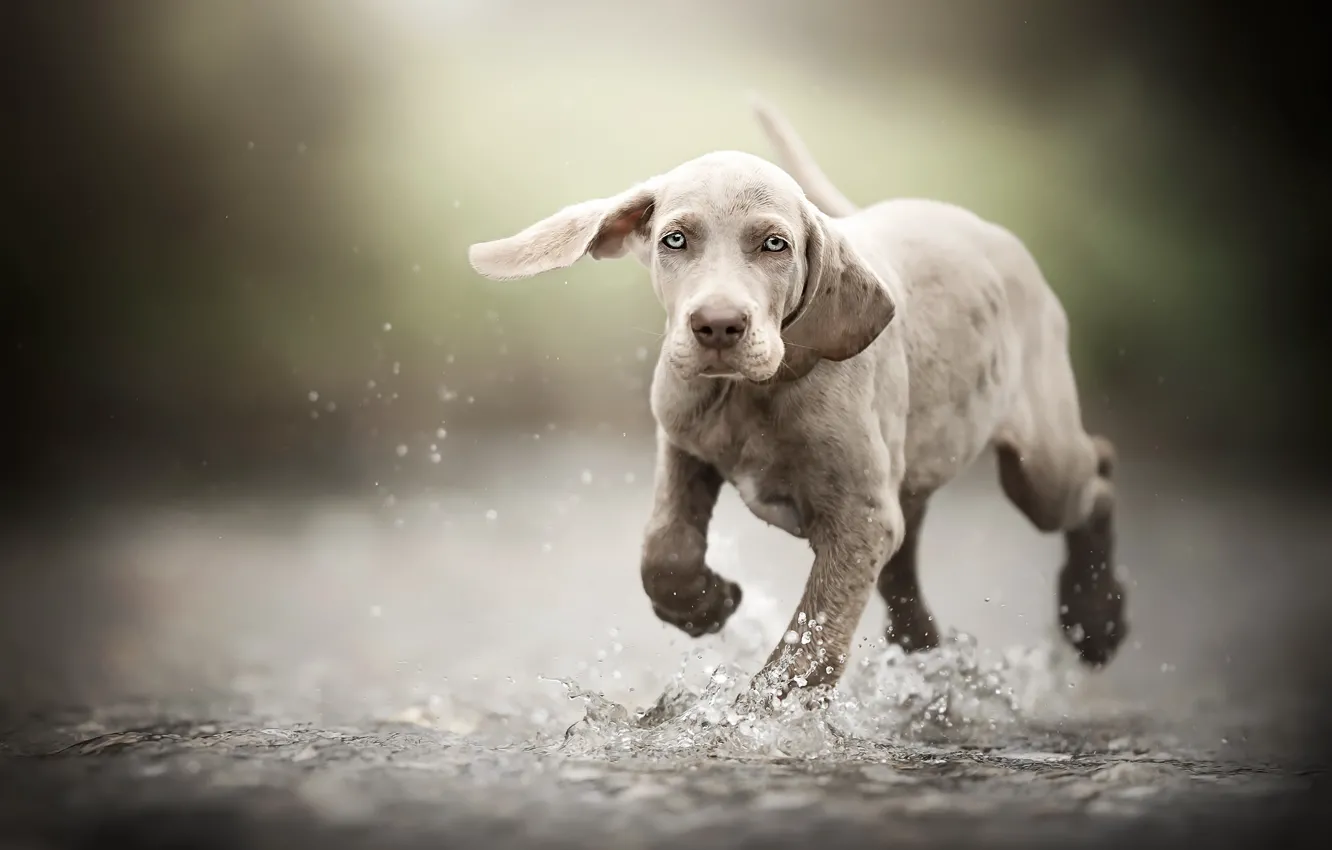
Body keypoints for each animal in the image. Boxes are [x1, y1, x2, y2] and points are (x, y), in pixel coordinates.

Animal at [468, 98, 1124, 698]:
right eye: (674, 239)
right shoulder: (684, 442)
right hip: (913, 476)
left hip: (1039, 469)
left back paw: (1097, 620)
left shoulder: (859, 518)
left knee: (1098, 471)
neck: (752, 394)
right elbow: (665, 551)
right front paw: (707, 604)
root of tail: (985, 228)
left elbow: (811, 642)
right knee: (907, 564)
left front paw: (759, 716)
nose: (718, 326)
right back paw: (925, 647)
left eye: (775, 245)